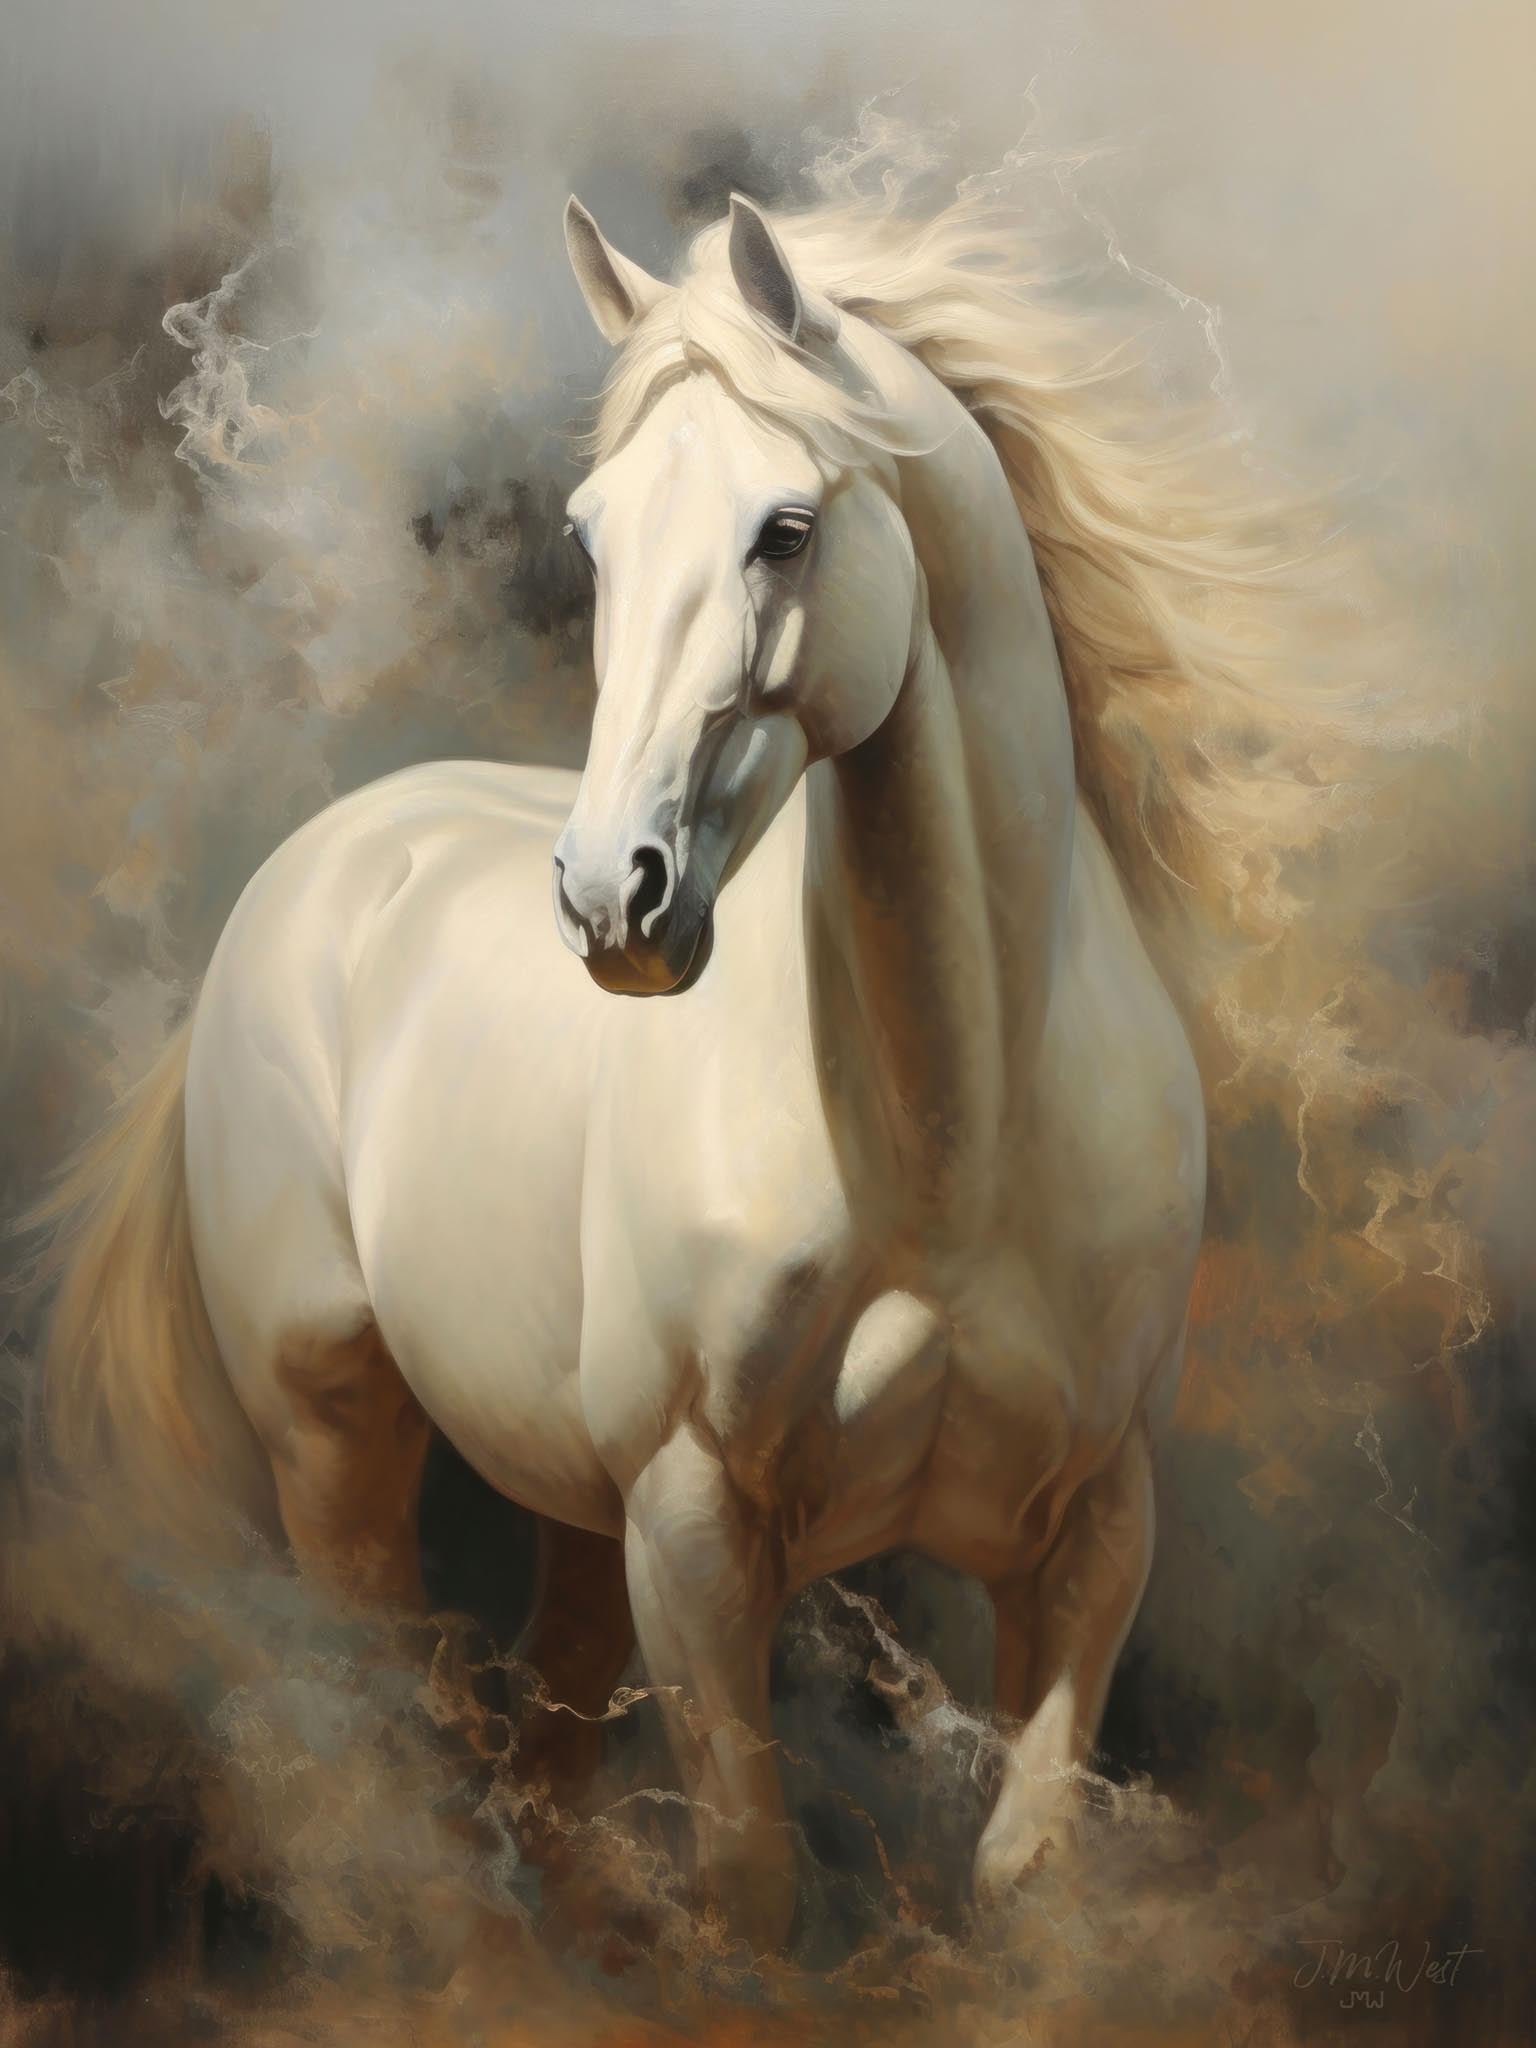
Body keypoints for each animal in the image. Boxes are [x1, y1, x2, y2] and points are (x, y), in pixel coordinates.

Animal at [39, 189, 1213, 1949]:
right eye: (592, 539)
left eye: (785, 530)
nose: (614, 898)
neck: (952, 1144)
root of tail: (325, 858)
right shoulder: (694, 1528)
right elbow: (749, 1885)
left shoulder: (1092, 1531)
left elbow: (1023, 1871)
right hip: (336, 1444)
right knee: (390, 1730)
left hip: (570, 1510)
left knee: (542, 1745)